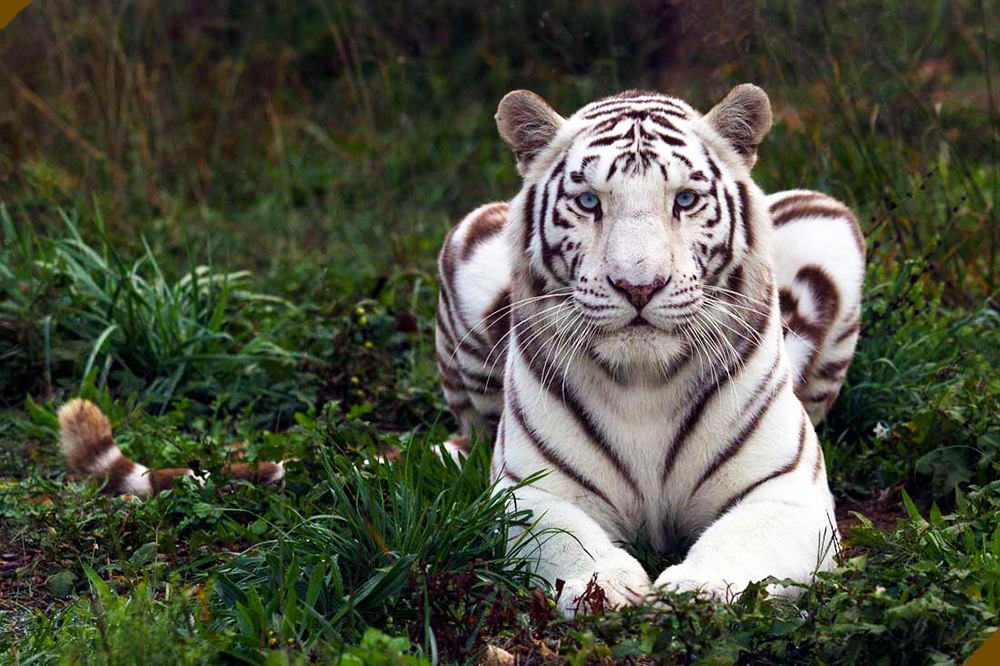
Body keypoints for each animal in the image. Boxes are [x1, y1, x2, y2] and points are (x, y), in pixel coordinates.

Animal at [435, 84, 865, 614]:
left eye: (685, 199)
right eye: (588, 201)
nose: (638, 286)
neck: (644, 380)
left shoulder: (786, 490)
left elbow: (740, 539)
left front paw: (697, 588)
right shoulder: (530, 492)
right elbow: (563, 538)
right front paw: (605, 587)